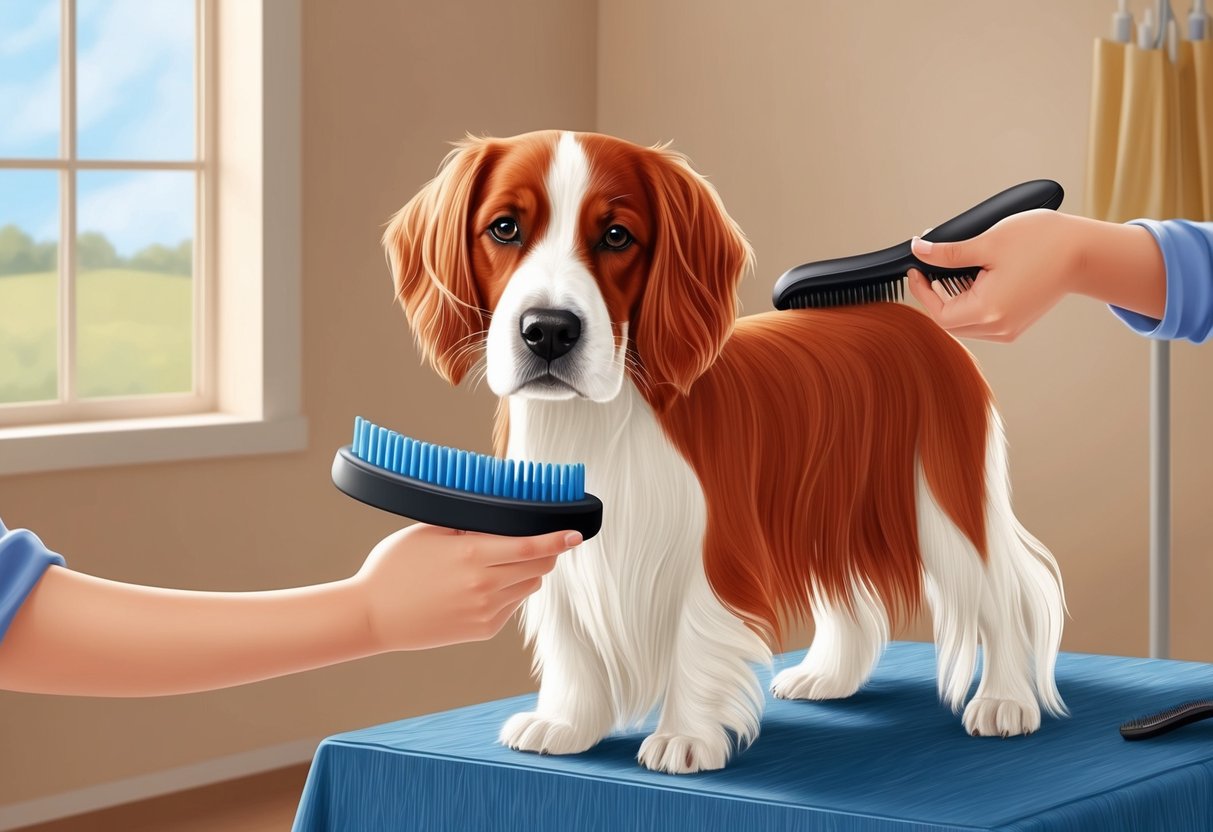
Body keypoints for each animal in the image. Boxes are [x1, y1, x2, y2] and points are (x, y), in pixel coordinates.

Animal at [383, 128, 1067, 776]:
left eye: (616, 236)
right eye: (504, 227)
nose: (549, 330)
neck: (601, 414)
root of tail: (918, 323)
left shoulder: (715, 544)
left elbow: (694, 632)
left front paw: (685, 738)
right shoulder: (564, 536)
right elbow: (571, 637)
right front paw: (566, 724)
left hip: (943, 500)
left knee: (1002, 594)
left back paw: (1005, 701)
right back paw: (828, 676)